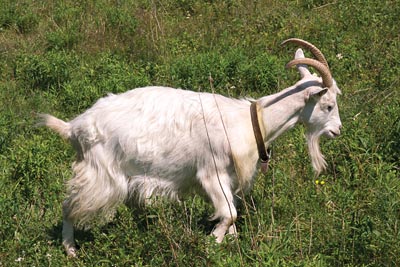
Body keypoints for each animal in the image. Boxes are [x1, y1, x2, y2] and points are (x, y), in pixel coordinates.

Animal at [39, 38, 340, 258]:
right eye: (328, 105)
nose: (337, 130)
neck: (251, 121)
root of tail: (74, 127)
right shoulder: (211, 174)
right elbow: (229, 214)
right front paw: (211, 242)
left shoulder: (228, 179)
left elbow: (232, 215)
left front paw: (229, 243)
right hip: (100, 175)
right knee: (69, 206)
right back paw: (70, 249)